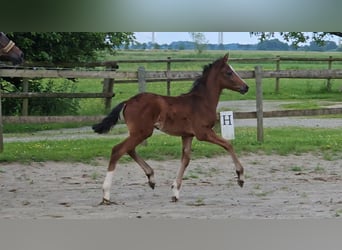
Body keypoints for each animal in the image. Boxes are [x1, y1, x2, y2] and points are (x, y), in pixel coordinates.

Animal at [93, 53, 248, 204]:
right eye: (229, 72)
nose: (245, 87)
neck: (202, 102)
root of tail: (128, 101)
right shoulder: (203, 133)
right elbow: (228, 144)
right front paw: (240, 177)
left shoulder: (187, 135)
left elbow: (185, 159)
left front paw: (175, 192)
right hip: (142, 132)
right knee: (118, 150)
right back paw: (106, 194)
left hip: (138, 133)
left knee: (129, 149)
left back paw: (151, 177)